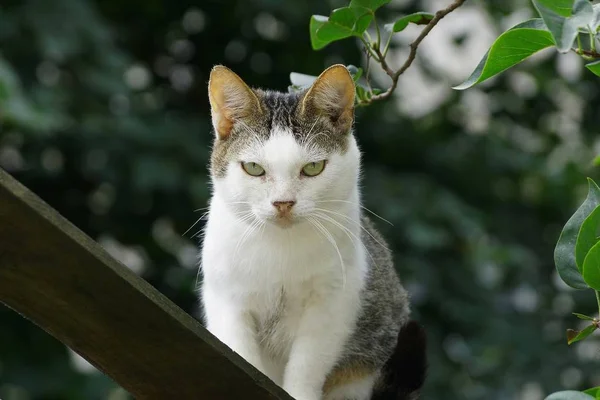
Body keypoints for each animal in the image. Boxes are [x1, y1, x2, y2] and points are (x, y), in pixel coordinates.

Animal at [199, 64, 424, 398]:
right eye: (254, 168)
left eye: (313, 168)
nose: (283, 203)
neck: (280, 248)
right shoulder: (227, 298)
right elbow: (240, 354)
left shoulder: (333, 304)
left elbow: (307, 365)